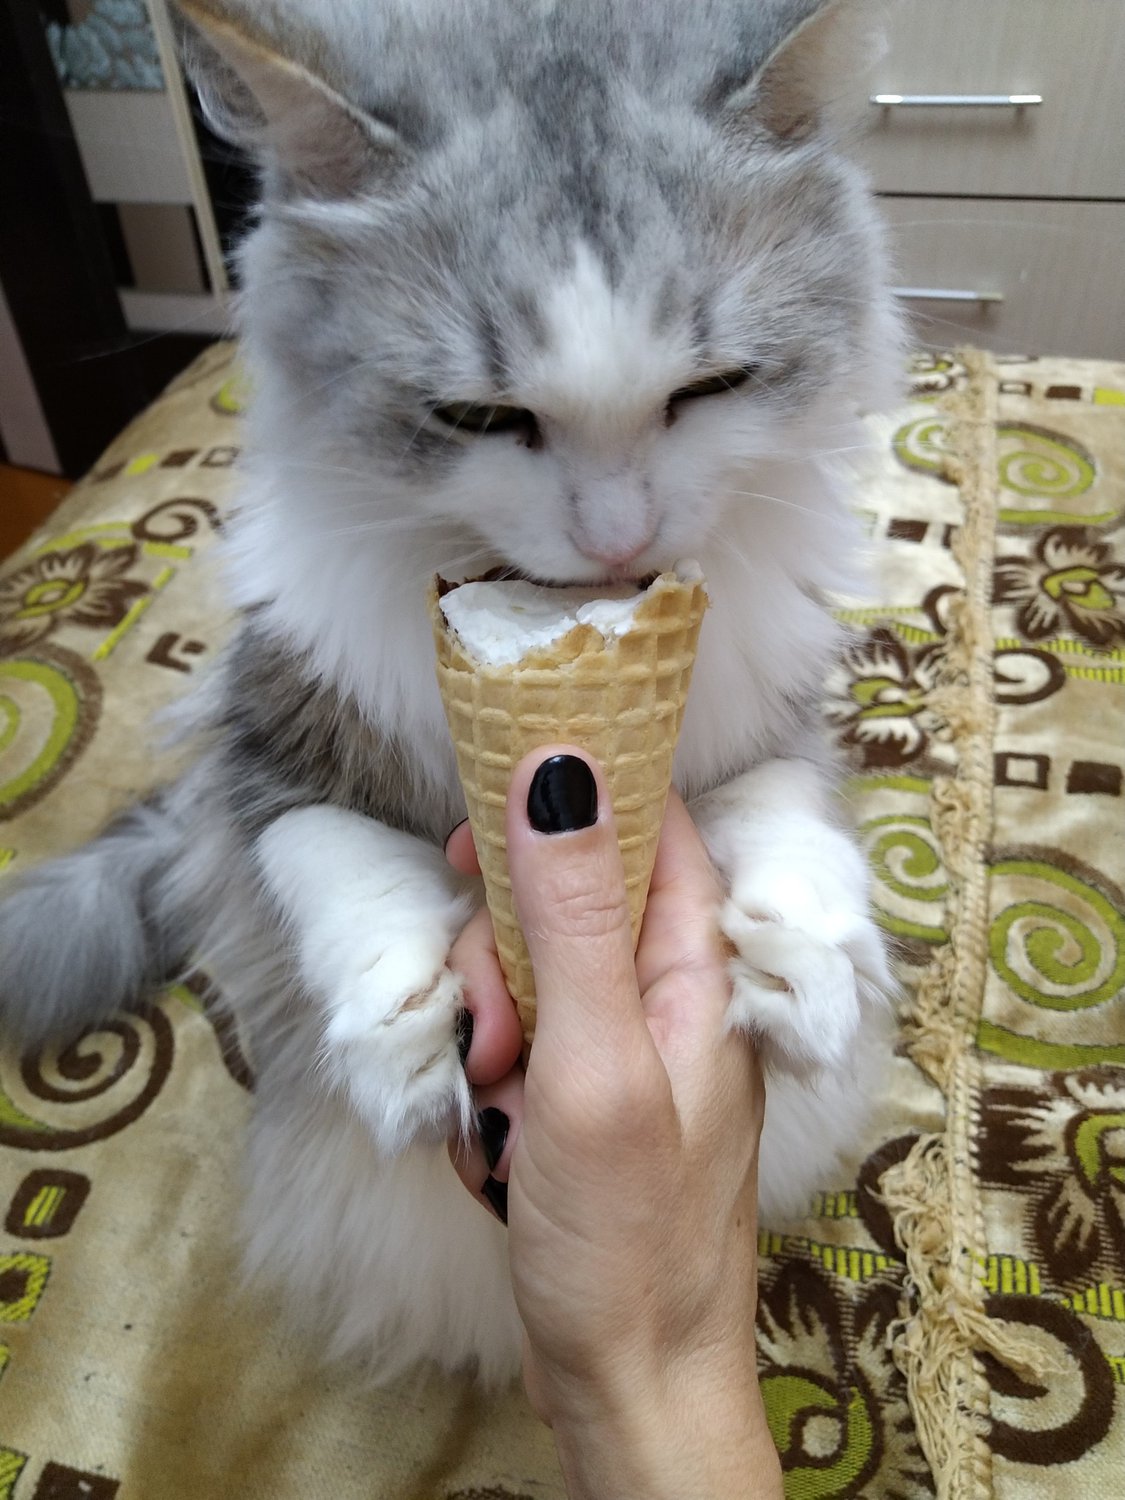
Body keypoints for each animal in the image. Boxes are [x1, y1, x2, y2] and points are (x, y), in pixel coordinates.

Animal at [0, 0, 900, 1384]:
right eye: (480, 417)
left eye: (709, 390)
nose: (618, 541)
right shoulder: (262, 745)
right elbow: (329, 856)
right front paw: (406, 1030)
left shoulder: (772, 711)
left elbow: (788, 817)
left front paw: (801, 975)